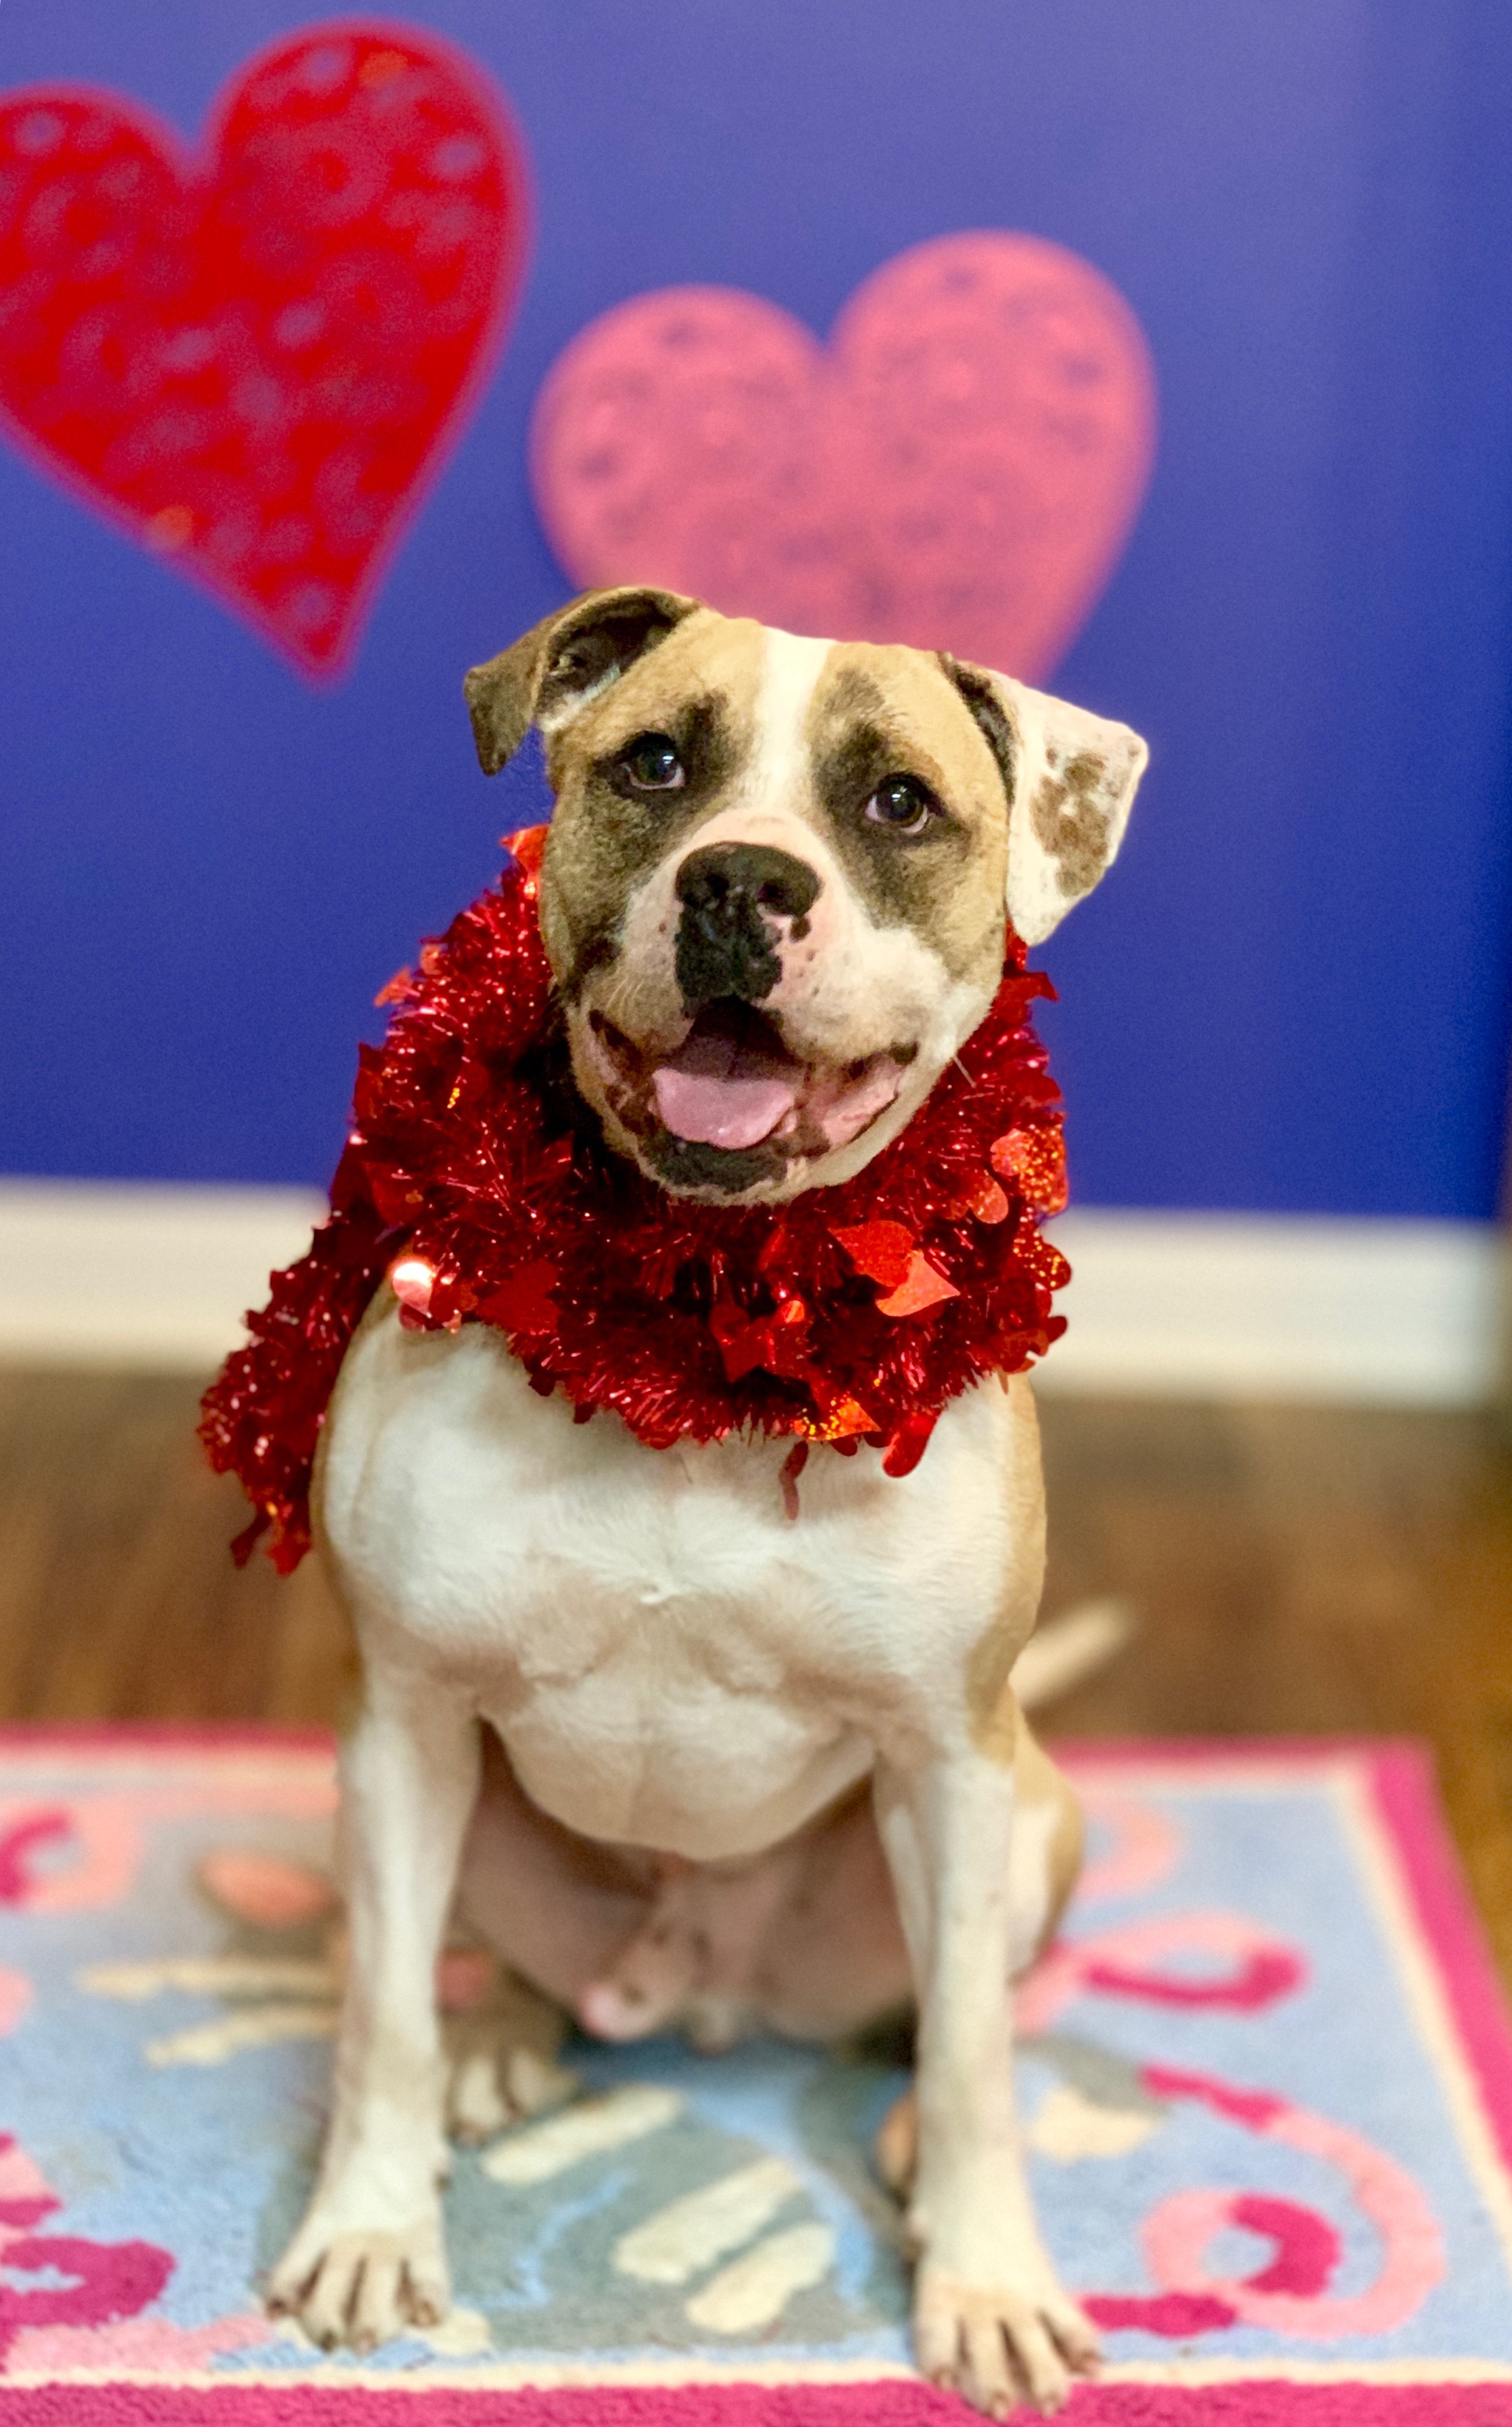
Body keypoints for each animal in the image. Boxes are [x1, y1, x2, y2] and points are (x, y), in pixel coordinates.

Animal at [269, 582, 1145, 2407]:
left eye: (898, 801)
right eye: (656, 763)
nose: (742, 881)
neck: (701, 1311)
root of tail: (708, 1985)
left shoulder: (948, 1762)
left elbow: (973, 2046)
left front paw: (986, 2278)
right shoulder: (403, 1714)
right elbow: (377, 2013)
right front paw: (371, 2225)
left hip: (1031, 1815)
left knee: (949, 2014)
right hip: (429, 1798)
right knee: (465, 1956)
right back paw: (498, 2039)